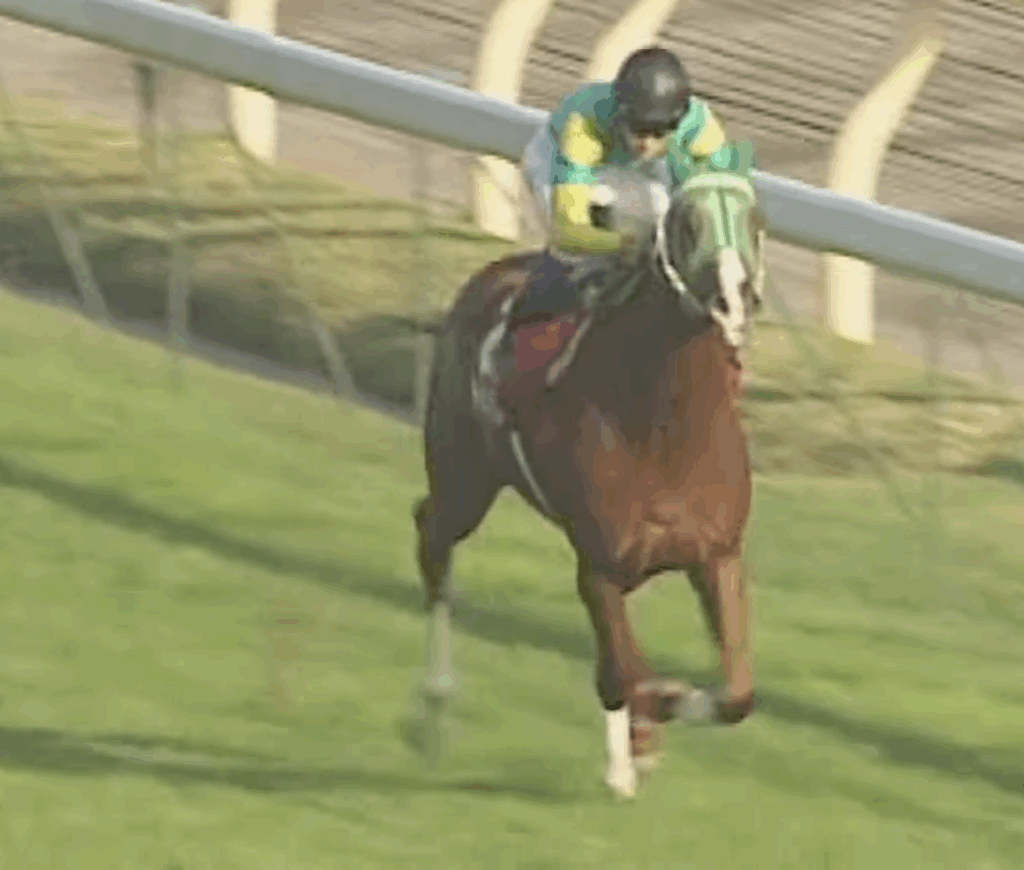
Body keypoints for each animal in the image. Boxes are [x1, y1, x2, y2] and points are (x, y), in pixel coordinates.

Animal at [412, 165, 767, 800]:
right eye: (687, 222)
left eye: (753, 219)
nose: (734, 298)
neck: (666, 427)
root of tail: (493, 274)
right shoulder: (599, 564)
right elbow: (623, 672)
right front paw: (641, 737)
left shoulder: (717, 554)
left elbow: (736, 695)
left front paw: (649, 733)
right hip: (464, 480)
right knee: (433, 544)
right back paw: (434, 706)